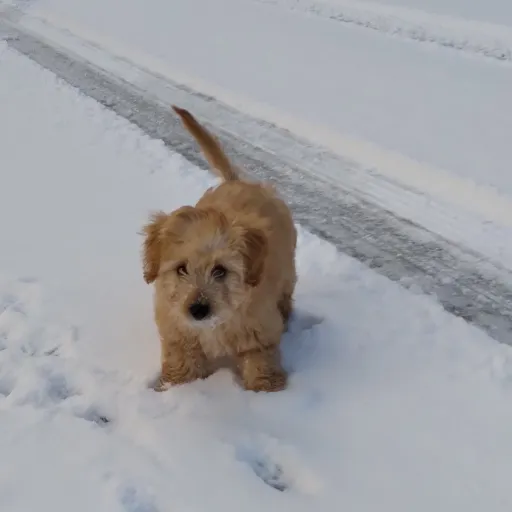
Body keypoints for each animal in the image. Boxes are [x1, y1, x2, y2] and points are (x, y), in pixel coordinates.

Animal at [142, 106, 297, 392]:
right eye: (181, 269)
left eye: (221, 270)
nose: (198, 310)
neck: (215, 325)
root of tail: (237, 181)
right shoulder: (177, 330)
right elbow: (182, 360)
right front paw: (178, 386)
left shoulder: (260, 330)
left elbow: (260, 357)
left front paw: (266, 389)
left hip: (288, 269)